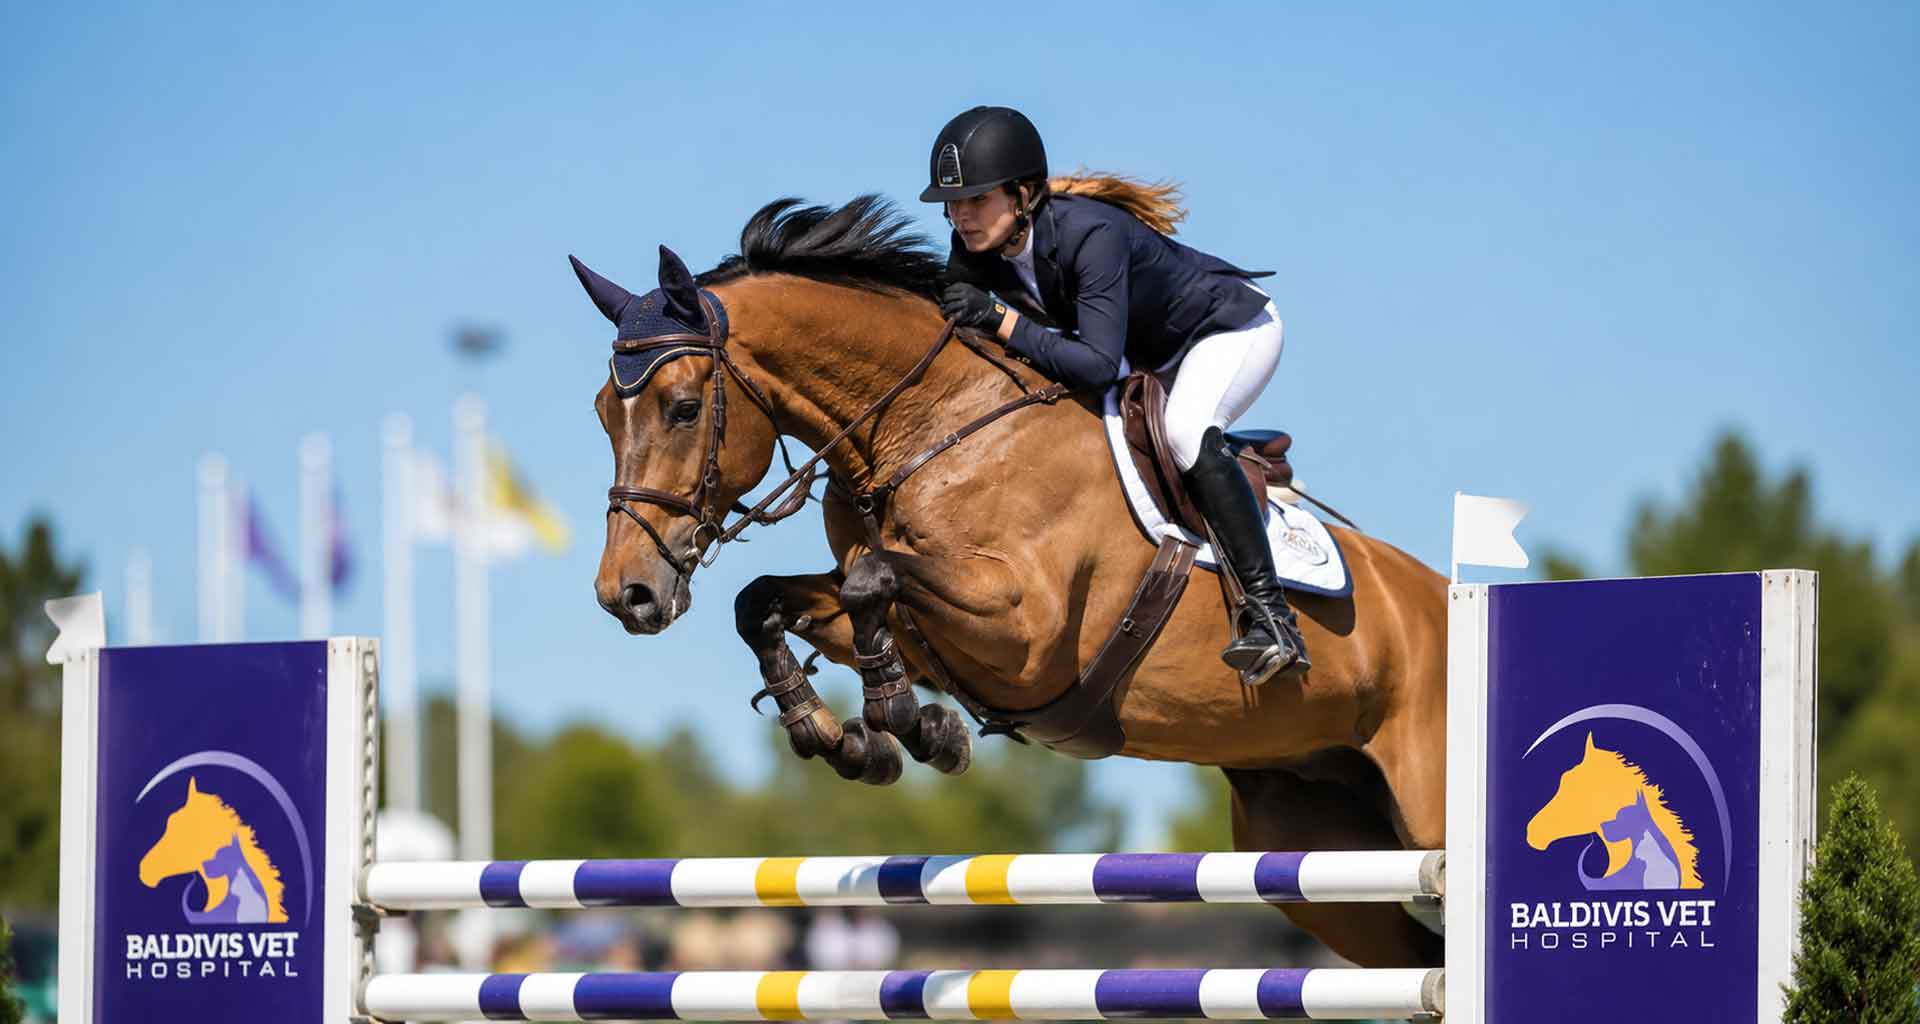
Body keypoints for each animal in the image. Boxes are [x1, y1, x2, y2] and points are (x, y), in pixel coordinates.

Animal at [580, 197, 1450, 968]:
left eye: (683, 407)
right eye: (602, 413)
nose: (627, 595)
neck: (934, 425)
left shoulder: (1024, 631)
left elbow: (870, 580)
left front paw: (907, 722)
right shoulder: (927, 627)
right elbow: (768, 600)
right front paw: (850, 739)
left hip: (1425, 817)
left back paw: (1269, 635)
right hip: (1313, 847)